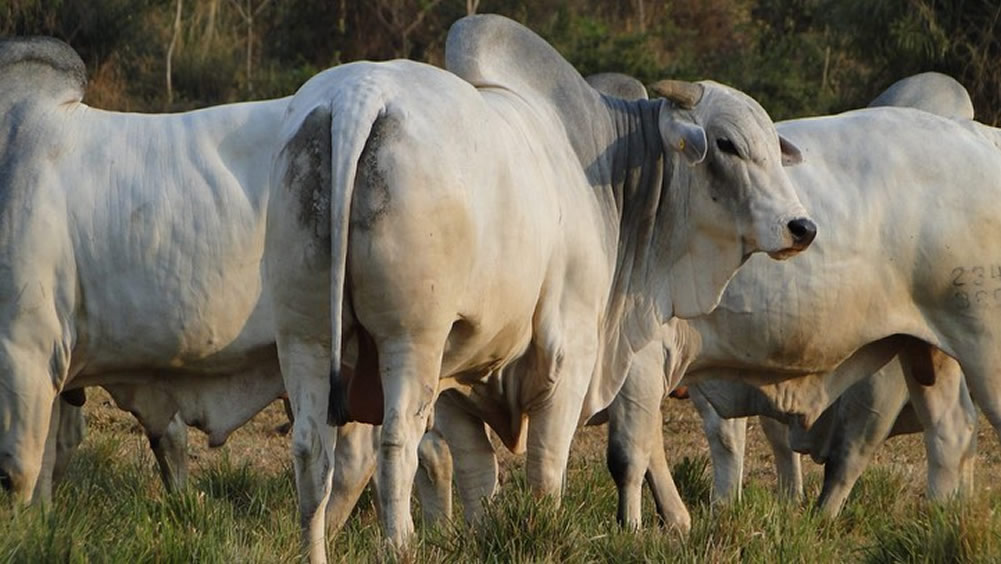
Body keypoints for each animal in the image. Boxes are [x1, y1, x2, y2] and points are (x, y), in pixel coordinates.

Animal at [266, 14, 812, 560]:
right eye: (726, 144)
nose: (801, 226)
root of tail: (356, 95)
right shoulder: (570, 357)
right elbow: (546, 472)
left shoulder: (456, 380)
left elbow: (478, 476)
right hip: (410, 338)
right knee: (397, 442)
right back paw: (401, 546)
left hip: (304, 337)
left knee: (311, 452)